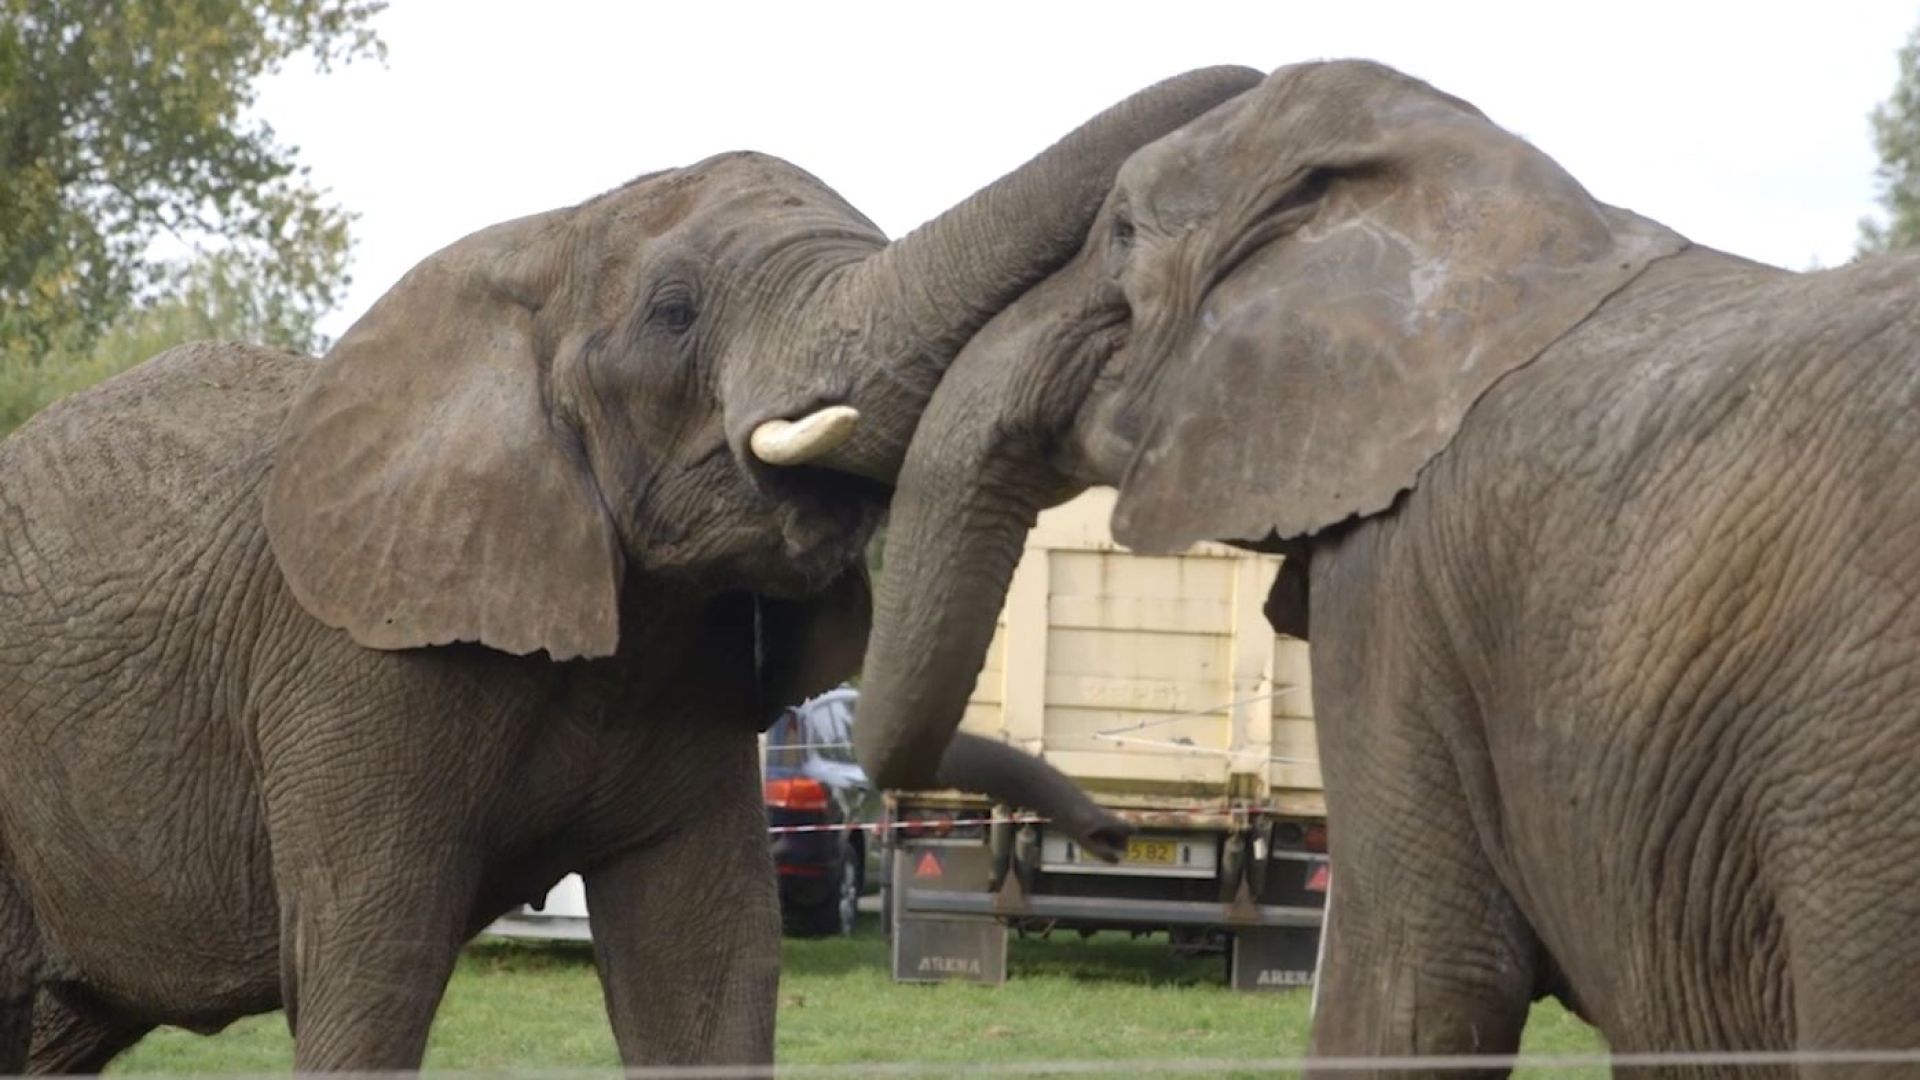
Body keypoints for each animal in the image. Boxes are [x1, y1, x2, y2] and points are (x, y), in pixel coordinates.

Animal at [0, 65, 1259, 1068]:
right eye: (673, 312)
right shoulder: (349, 663)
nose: (1112, 836)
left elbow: (707, 962)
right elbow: (370, 965)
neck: (547, 233)